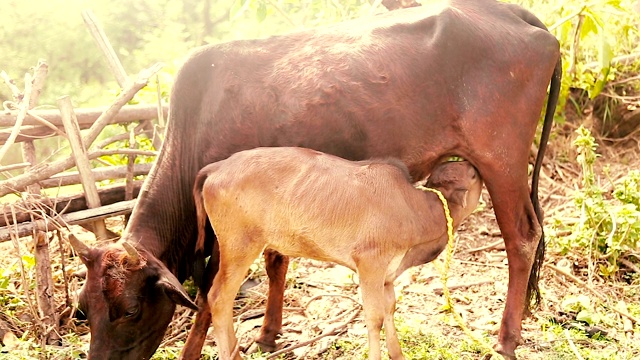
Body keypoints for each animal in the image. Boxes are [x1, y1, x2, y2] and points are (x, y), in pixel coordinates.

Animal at [192, 147, 482, 360]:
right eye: (473, 176)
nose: (475, 166)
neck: (416, 209)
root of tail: (218, 167)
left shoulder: (387, 275)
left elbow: (390, 308)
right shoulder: (370, 264)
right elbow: (374, 317)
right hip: (240, 246)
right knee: (219, 299)